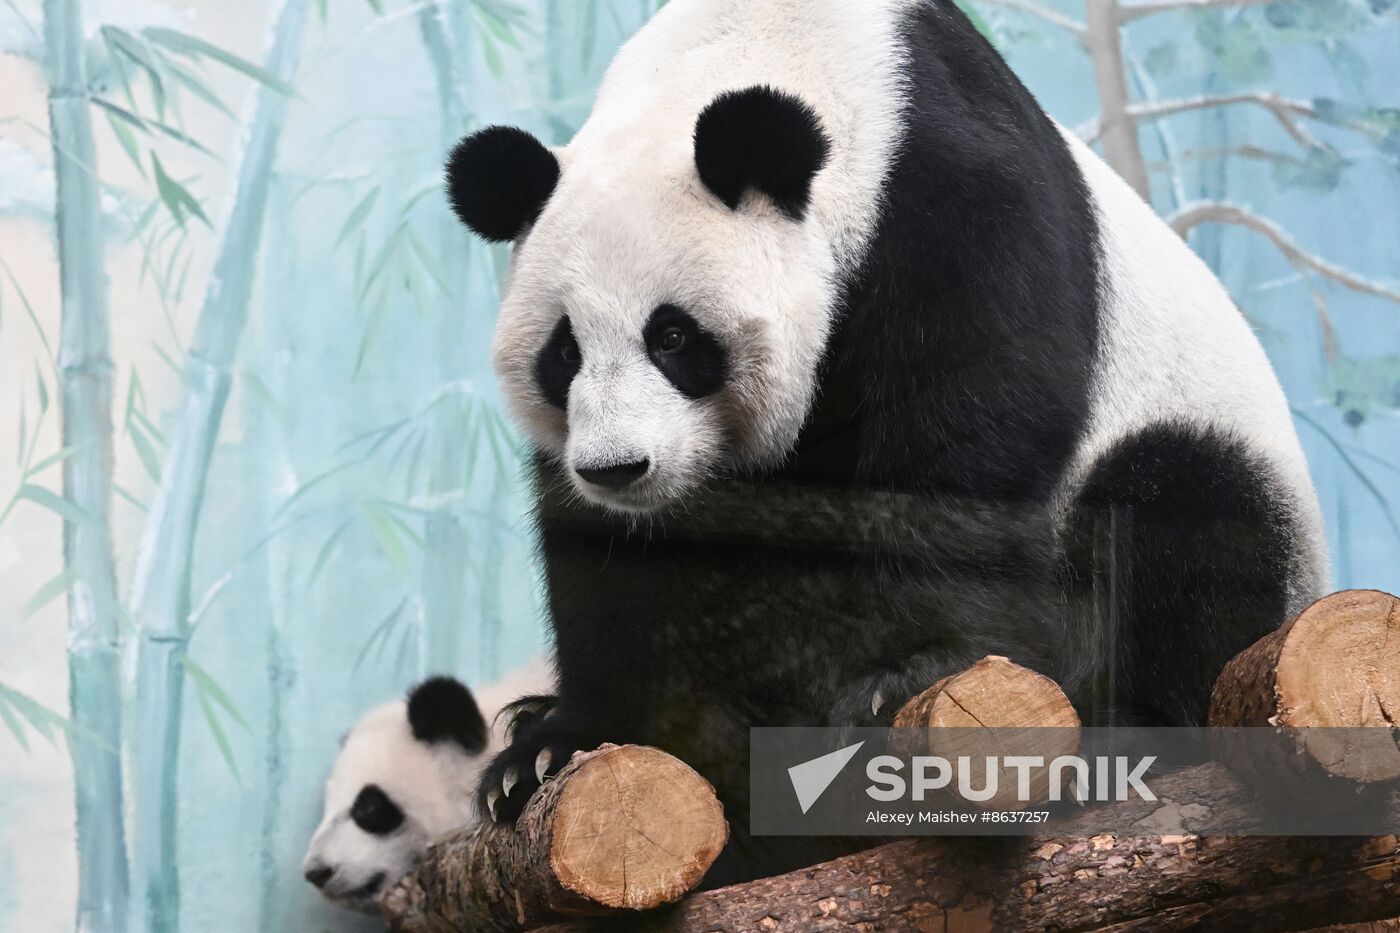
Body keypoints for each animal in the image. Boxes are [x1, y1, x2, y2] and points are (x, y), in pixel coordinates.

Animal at [442, 0, 1327, 879]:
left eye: (672, 336)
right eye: (564, 351)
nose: (619, 468)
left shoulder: (953, 201)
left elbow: (970, 439)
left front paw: (903, 680)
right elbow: (606, 562)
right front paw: (553, 746)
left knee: (1181, 513)